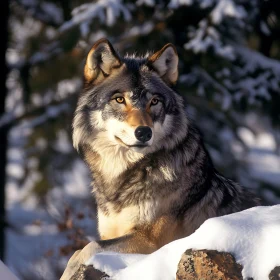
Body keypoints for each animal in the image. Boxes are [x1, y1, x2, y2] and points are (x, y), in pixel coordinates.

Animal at [60, 38, 260, 278]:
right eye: (120, 99)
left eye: (154, 102)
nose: (144, 133)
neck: (124, 178)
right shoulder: (111, 232)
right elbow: (81, 250)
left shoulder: (151, 240)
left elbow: (85, 249)